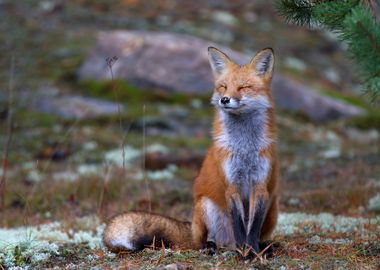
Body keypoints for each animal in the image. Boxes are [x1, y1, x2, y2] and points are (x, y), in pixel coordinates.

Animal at [104, 46, 280, 258]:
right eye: (223, 87)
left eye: (243, 87)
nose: (224, 100)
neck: (244, 147)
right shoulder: (231, 184)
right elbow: (239, 226)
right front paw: (244, 254)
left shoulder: (260, 185)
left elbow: (251, 229)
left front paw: (253, 252)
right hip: (205, 206)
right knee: (207, 241)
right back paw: (213, 247)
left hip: (272, 208)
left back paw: (266, 247)